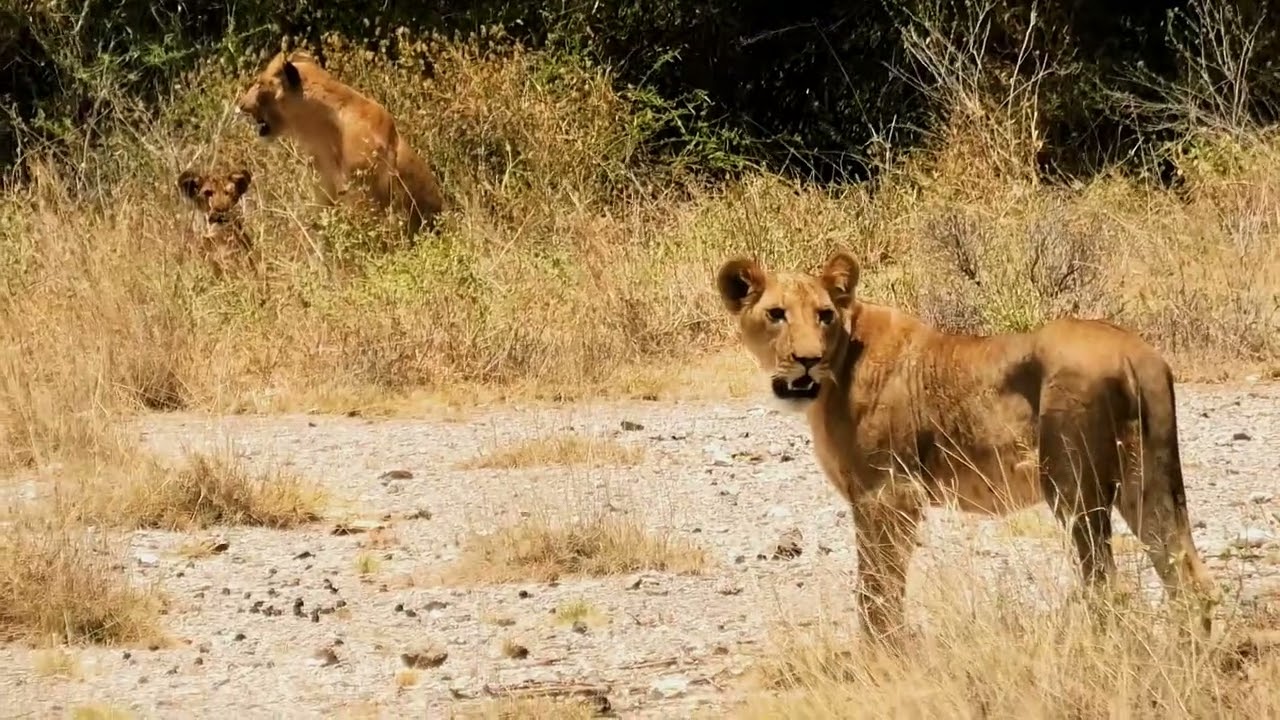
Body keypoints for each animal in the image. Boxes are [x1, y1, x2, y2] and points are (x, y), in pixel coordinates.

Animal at [715, 250, 1219, 644]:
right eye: (776, 314)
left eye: (824, 315)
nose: (807, 360)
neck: (839, 362)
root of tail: (1136, 352)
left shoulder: (888, 494)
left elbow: (878, 587)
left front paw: (881, 656)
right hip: (1148, 483)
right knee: (1190, 578)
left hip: (1073, 486)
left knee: (1107, 584)